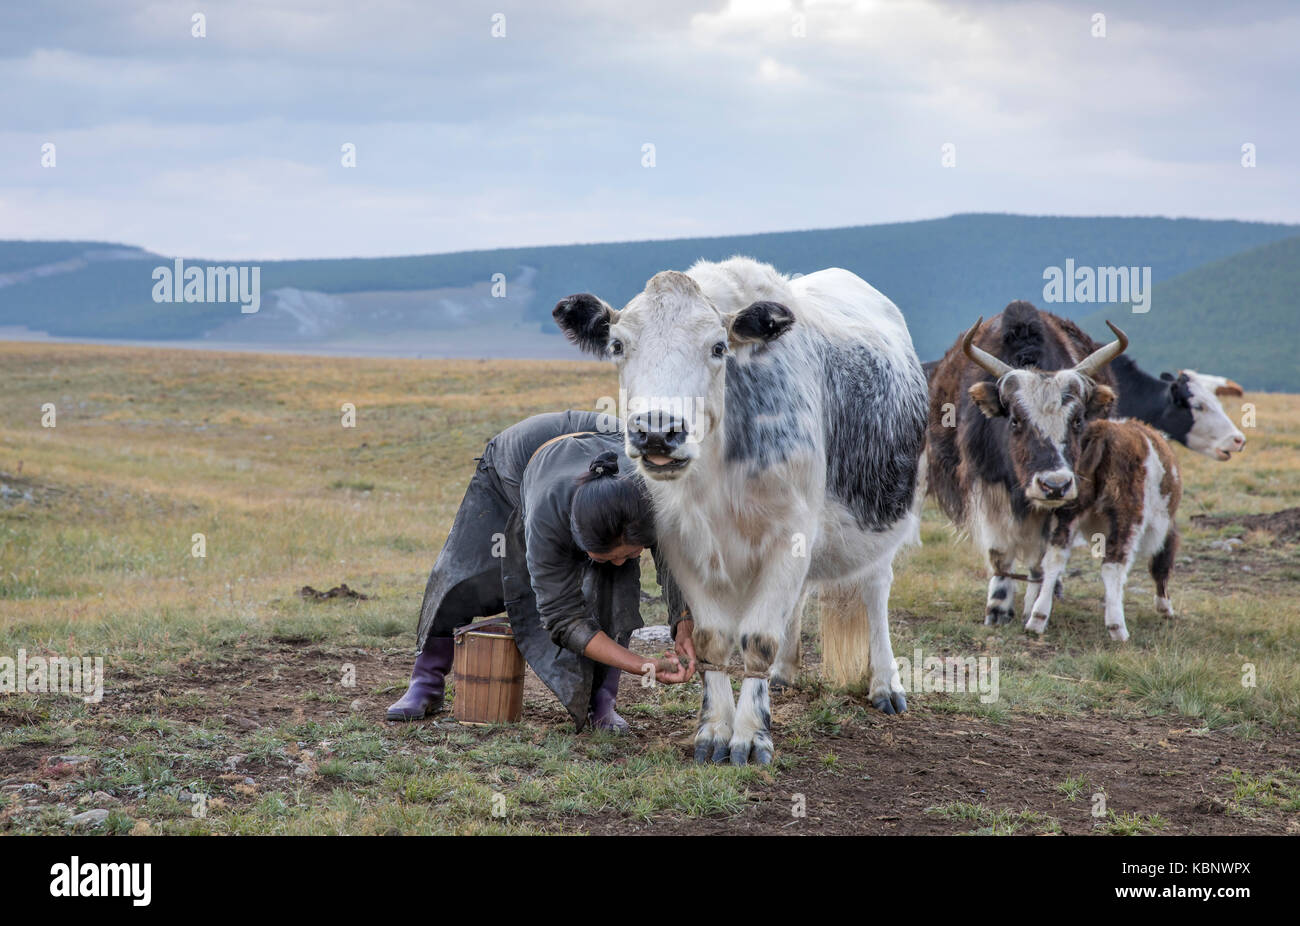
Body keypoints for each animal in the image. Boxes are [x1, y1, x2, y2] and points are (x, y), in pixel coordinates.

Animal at [553, 257, 928, 765]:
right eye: (617, 345)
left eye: (718, 347)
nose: (658, 432)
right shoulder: (682, 545)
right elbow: (712, 638)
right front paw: (713, 731)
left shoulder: (790, 534)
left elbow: (758, 638)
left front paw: (751, 736)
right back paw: (786, 673)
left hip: (882, 523)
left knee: (874, 591)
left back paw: (886, 685)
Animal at [926, 301, 1127, 626]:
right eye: (1015, 420)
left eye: (1078, 420)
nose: (1054, 486)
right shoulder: (988, 486)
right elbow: (999, 552)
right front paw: (997, 609)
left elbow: (1041, 557)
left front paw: (1034, 603)